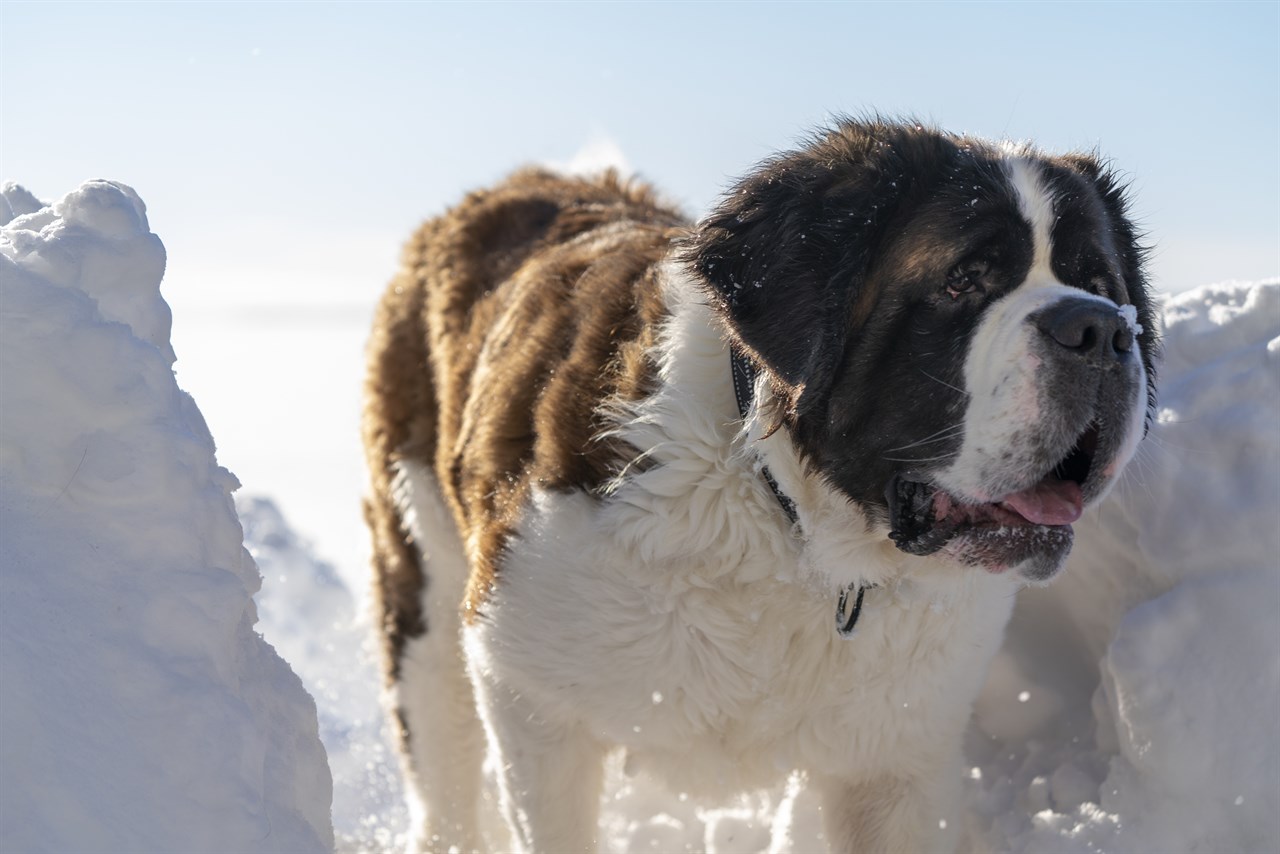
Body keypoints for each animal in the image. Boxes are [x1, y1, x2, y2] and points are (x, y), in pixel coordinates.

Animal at [363, 117, 1162, 850]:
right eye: (964, 280)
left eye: (1102, 288)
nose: (1100, 330)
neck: (792, 527)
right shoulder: (529, 691)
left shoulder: (898, 761)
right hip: (423, 584)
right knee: (442, 766)